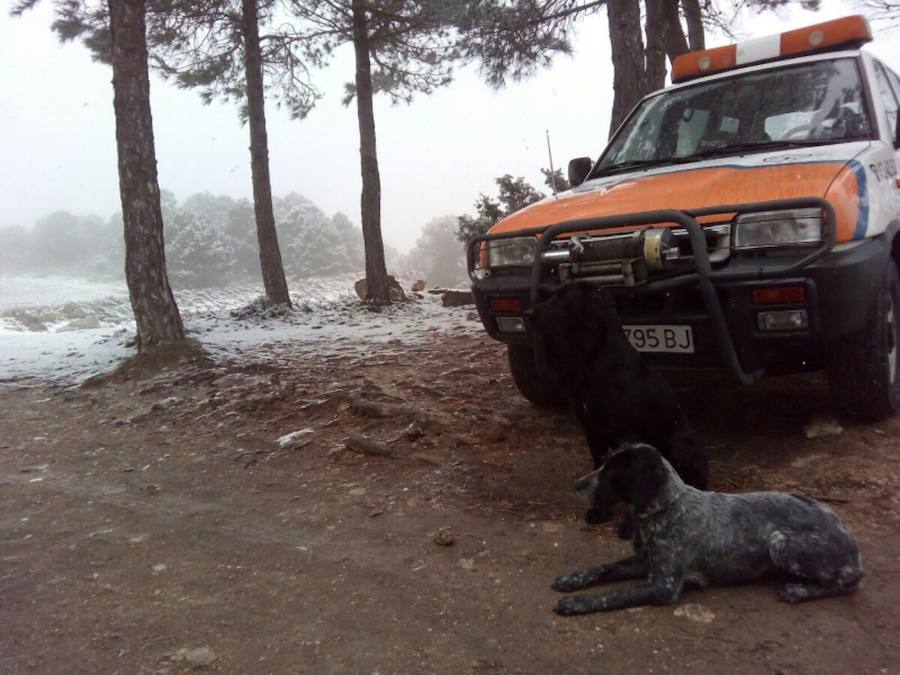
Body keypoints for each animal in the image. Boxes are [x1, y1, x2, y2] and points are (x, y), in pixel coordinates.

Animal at [528, 282, 712, 524]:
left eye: (562, 298)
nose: (527, 313)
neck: (594, 363)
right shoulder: (591, 429)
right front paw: (599, 510)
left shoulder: (626, 432)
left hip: (681, 442)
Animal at [552, 446, 860, 616]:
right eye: (603, 463)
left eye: (611, 472)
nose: (577, 485)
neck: (666, 509)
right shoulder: (643, 562)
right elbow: (604, 568)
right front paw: (572, 579)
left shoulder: (663, 586)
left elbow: (613, 594)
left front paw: (577, 602)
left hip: (779, 542)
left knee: (846, 584)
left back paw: (798, 590)